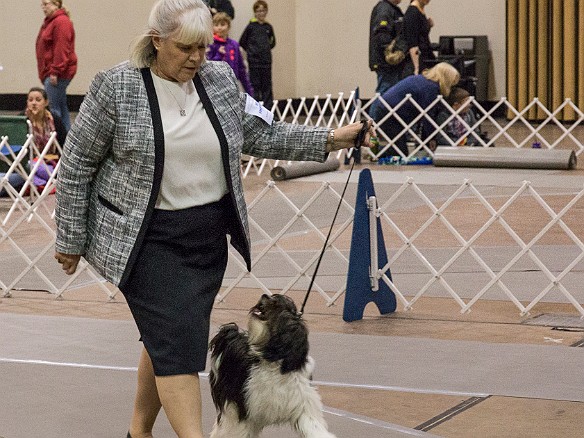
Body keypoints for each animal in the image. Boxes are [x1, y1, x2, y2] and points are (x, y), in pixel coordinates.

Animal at [210, 294, 338, 438]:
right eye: (273, 297)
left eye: (275, 303)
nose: (264, 295)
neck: (275, 363)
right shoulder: (244, 410)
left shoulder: (303, 407)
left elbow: (315, 428)